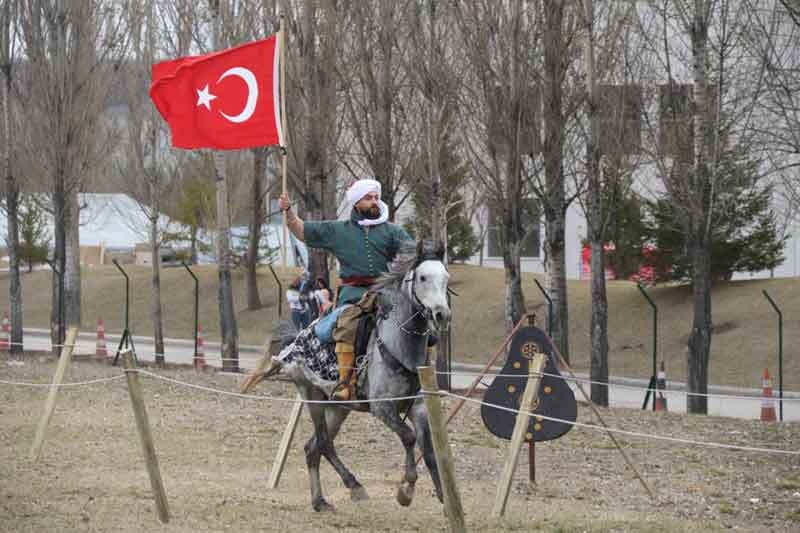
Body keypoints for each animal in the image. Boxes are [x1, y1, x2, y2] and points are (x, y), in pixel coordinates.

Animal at [262, 241, 450, 512]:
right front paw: (406, 489)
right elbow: (409, 437)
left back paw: (320, 501)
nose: (441, 314)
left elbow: (429, 451)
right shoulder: (382, 408)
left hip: (338, 408)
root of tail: (296, 338)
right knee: (324, 443)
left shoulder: (419, 407)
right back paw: (352, 486)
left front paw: (445, 497)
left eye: (446, 278)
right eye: (423, 277)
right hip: (312, 397)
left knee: (313, 447)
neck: (400, 346)